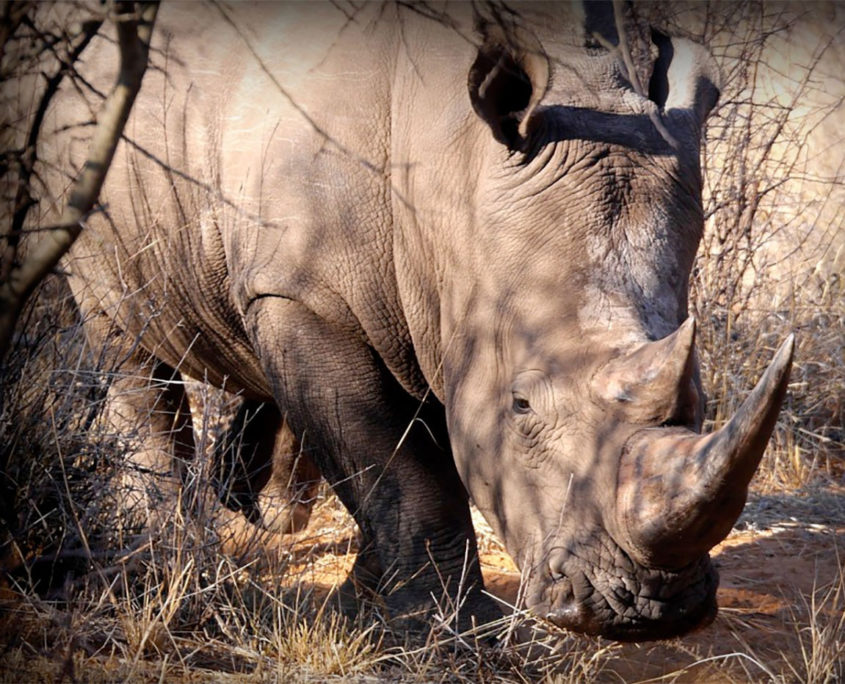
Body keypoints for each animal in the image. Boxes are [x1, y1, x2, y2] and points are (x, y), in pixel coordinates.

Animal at [37, 1, 794, 641]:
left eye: (700, 400)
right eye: (521, 406)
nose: (647, 610)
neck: (458, 167)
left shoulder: (438, 290)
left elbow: (390, 458)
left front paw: (365, 607)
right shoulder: (307, 293)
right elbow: (397, 466)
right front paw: (445, 633)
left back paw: (258, 509)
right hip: (92, 162)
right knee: (124, 340)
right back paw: (169, 565)